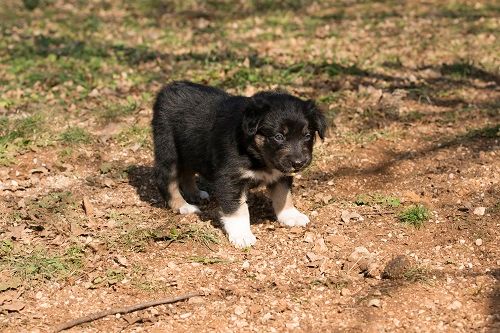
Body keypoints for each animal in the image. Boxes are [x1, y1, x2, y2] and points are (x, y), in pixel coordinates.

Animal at [150, 80, 326, 246]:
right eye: (278, 137)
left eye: (307, 135)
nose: (299, 163)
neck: (257, 154)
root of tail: (169, 88)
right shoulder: (230, 178)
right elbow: (238, 209)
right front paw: (242, 235)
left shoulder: (280, 172)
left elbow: (283, 195)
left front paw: (290, 215)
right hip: (168, 148)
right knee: (165, 178)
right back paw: (182, 205)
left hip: (189, 148)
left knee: (187, 171)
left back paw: (195, 193)